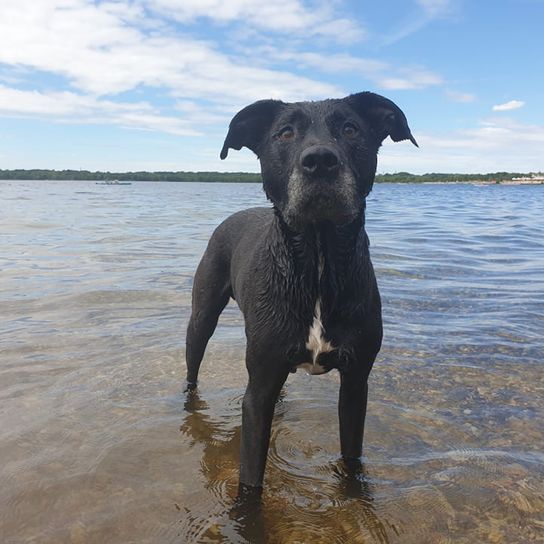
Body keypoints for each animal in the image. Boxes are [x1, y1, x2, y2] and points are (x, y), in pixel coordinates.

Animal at [186, 92, 416, 492]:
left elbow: (351, 457)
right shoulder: (258, 390)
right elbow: (250, 481)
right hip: (202, 316)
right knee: (193, 364)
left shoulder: (356, 384)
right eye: (285, 132)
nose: (320, 161)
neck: (318, 263)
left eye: (351, 129)